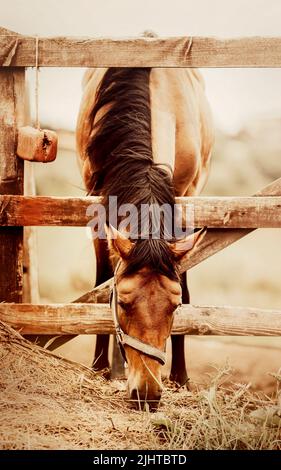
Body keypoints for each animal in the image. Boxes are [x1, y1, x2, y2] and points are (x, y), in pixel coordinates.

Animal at [75, 64, 213, 410]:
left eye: (174, 307)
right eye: (123, 304)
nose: (147, 392)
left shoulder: (186, 199)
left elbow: (186, 286)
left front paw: (181, 376)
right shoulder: (98, 206)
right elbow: (102, 284)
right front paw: (99, 368)